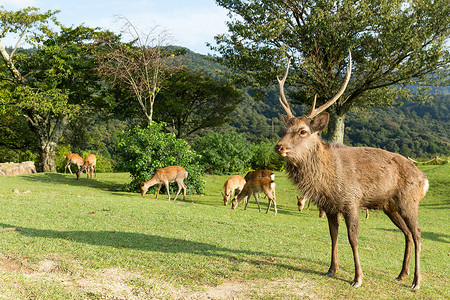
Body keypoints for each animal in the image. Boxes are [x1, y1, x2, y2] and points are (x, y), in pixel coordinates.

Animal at [274, 51, 428, 288]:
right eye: (283, 129)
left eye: (302, 131)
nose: (279, 146)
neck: (327, 181)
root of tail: (424, 179)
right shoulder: (329, 206)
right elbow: (333, 235)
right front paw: (331, 269)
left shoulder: (351, 201)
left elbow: (353, 239)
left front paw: (358, 278)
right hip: (390, 206)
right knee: (407, 234)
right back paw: (402, 274)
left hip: (409, 201)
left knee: (418, 233)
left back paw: (416, 281)